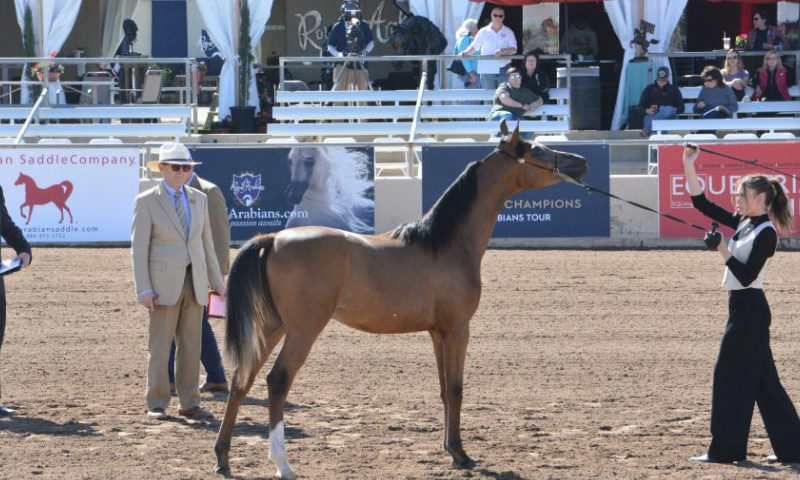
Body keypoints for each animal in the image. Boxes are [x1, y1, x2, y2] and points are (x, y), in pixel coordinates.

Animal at [213, 122, 588, 479]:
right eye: (536, 150)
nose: (580, 162)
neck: (443, 244)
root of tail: (273, 238)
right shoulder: (458, 329)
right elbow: (456, 389)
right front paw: (462, 454)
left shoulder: (437, 333)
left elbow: (443, 390)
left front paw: (450, 449)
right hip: (303, 330)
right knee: (277, 382)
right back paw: (283, 463)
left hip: (273, 327)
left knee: (241, 380)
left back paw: (223, 459)